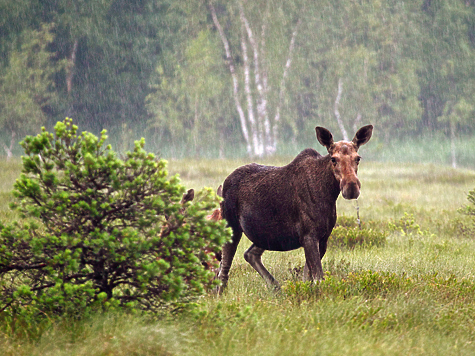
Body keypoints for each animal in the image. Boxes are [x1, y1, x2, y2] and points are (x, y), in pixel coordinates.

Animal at [217, 125, 376, 292]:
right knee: (223, 271)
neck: (329, 193)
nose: (351, 187)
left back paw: (276, 287)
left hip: (267, 234)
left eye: (358, 158)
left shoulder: (323, 238)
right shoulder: (309, 236)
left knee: (249, 254)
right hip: (231, 226)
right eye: (333, 159)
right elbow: (318, 278)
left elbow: (308, 278)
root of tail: (225, 183)